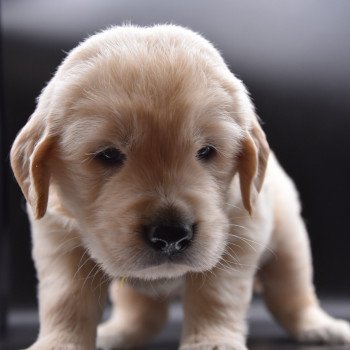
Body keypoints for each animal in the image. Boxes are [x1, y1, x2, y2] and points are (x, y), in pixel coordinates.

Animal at [10, 25, 350, 350]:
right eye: (108, 155)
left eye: (206, 151)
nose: (171, 236)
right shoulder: (58, 239)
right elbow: (65, 300)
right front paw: (58, 344)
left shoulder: (240, 232)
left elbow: (216, 295)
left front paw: (211, 341)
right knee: (144, 313)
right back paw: (118, 332)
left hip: (290, 241)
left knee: (293, 293)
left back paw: (321, 327)